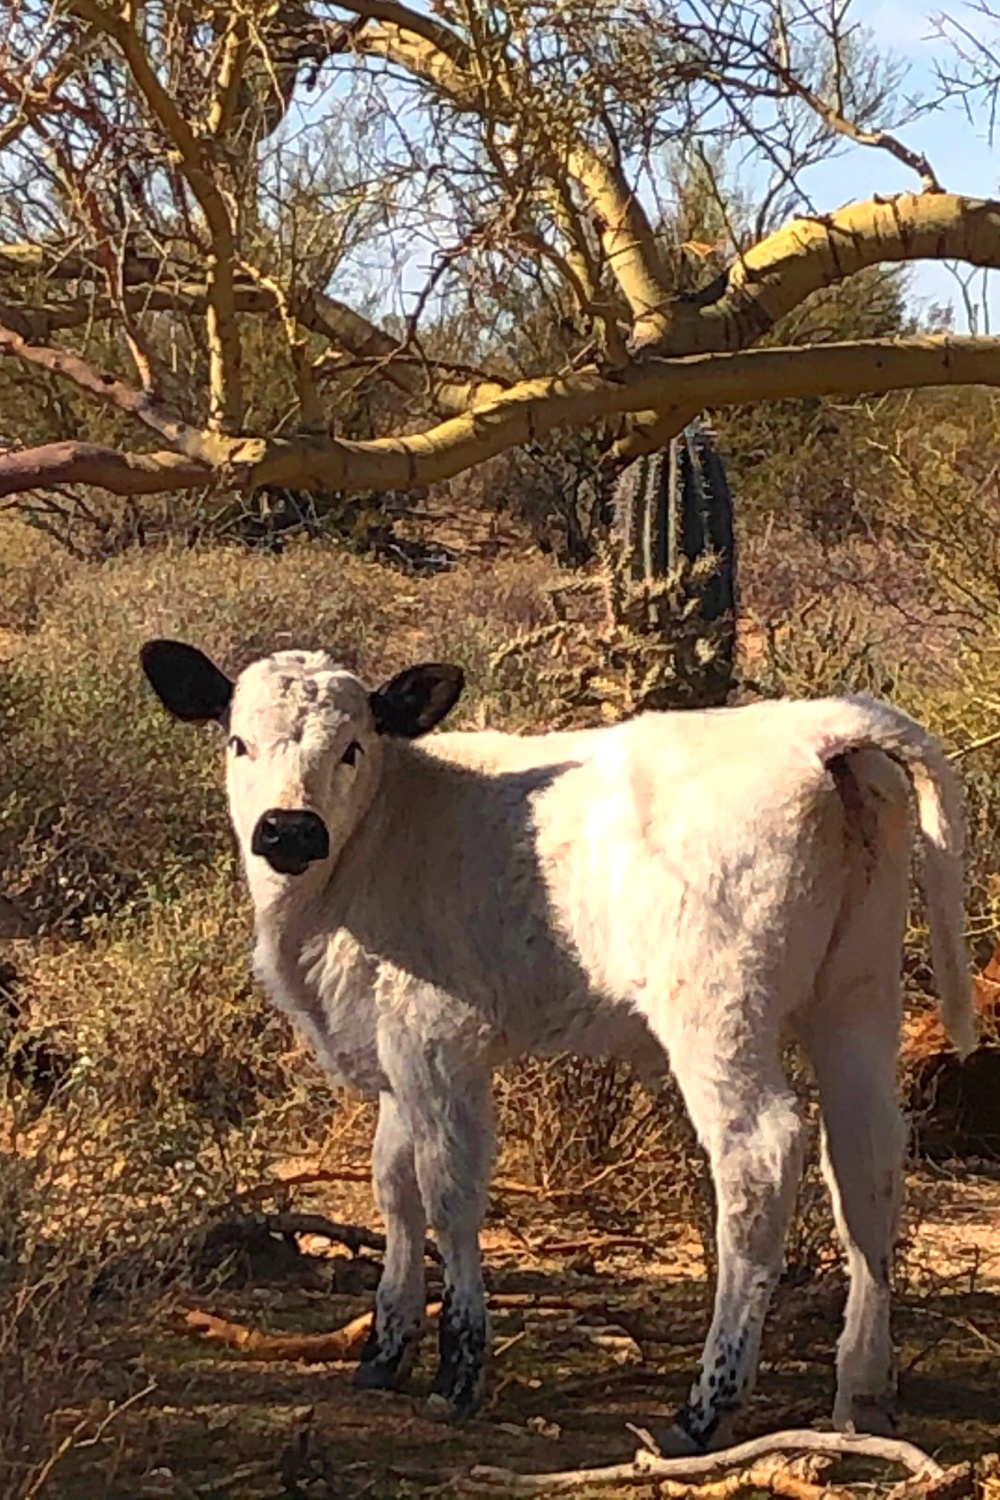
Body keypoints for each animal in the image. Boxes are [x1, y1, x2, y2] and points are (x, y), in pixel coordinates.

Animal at [137, 639, 971, 1446]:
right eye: (238, 742)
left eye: (351, 747)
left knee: (760, 1159)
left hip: (718, 1011)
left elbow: (448, 1193)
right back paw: (863, 1394)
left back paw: (705, 1406)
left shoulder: (439, 1043)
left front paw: (458, 1370)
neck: (377, 840)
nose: (288, 829)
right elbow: (394, 1186)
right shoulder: (396, 1053)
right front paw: (384, 1350)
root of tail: (815, 728)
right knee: (866, 1162)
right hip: (857, 995)